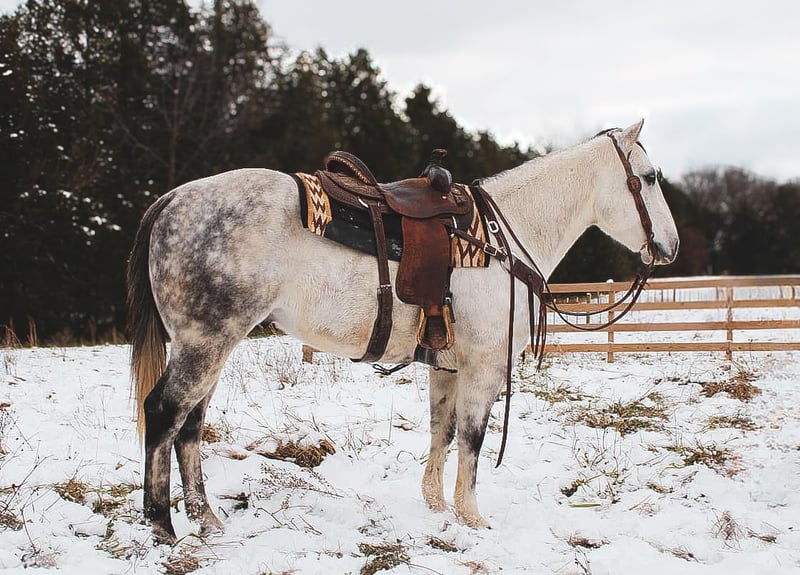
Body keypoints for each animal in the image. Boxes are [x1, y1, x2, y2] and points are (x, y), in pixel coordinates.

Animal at [127, 119, 679, 544]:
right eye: (649, 178)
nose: (669, 247)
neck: (499, 238)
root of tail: (172, 199)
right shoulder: (484, 365)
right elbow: (474, 437)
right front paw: (472, 516)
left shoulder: (447, 366)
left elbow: (442, 430)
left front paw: (436, 505)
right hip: (206, 342)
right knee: (164, 414)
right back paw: (163, 528)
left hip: (211, 345)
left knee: (191, 425)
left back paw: (208, 521)